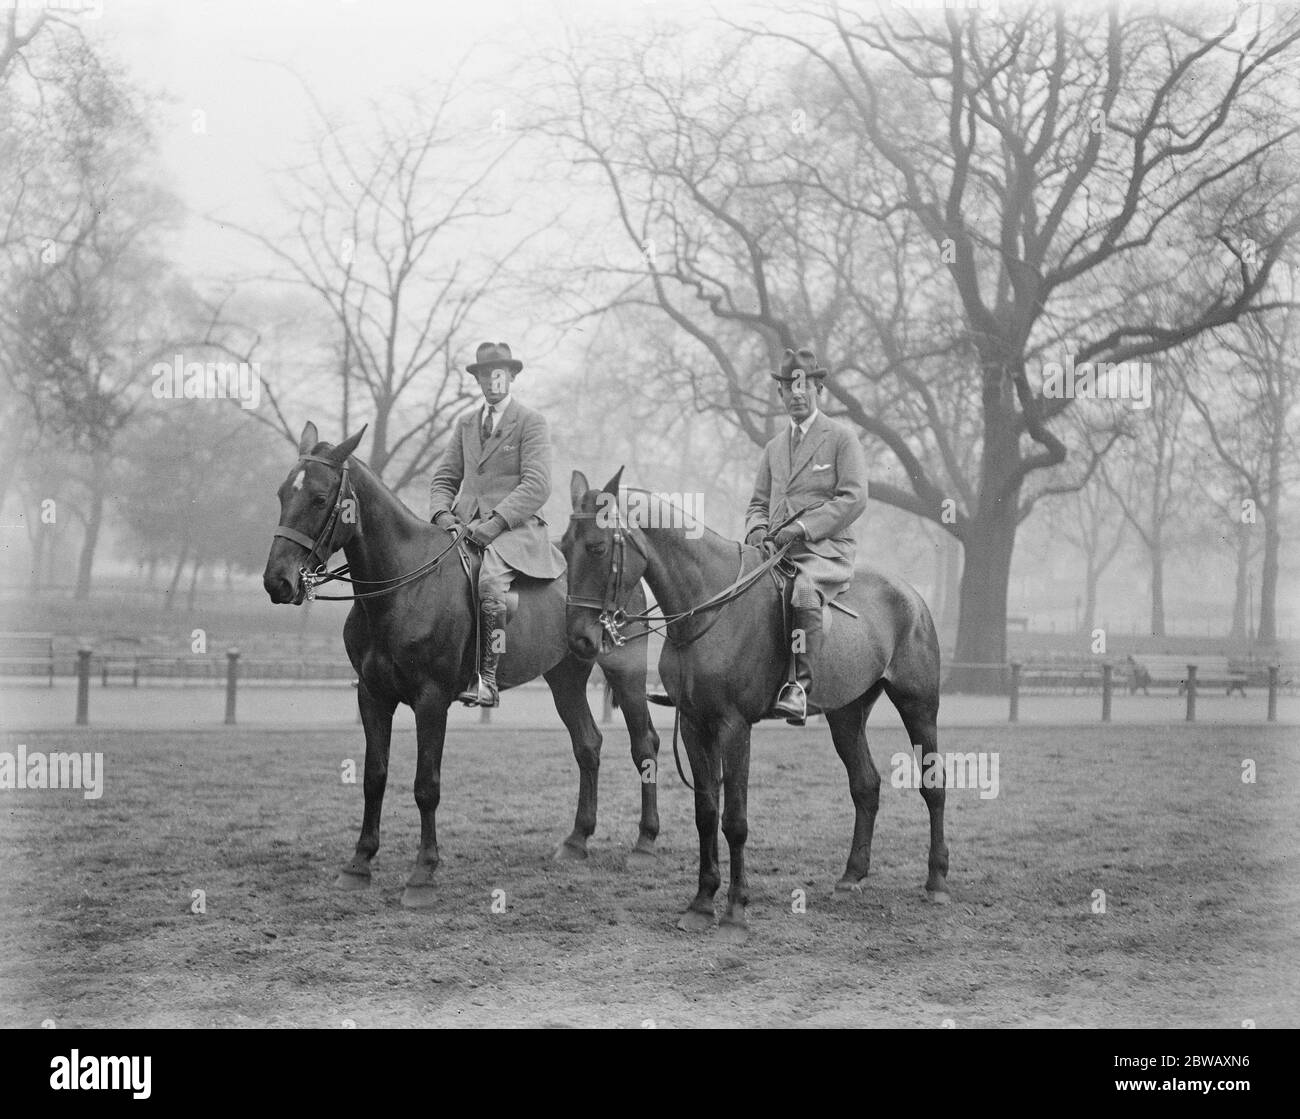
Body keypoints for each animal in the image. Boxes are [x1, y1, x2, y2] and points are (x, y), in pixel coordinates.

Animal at [262, 421, 660, 909]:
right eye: (283, 493)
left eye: (320, 498)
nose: (277, 581)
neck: (403, 588)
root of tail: (628, 564)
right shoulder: (372, 696)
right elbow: (375, 776)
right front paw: (359, 863)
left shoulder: (431, 701)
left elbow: (425, 785)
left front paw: (422, 872)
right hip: (565, 676)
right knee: (588, 743)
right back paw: (577, 840)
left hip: (626, 673)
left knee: (644, 744)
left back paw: (645, 841)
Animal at [564, 467, 951, 940]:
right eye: (563, 546)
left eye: (597, 547)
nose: (580, 639)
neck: (708, 606)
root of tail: (911, 595)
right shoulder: (694, 724)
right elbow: (706, 813)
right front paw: (701, 902)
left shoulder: (734, 727)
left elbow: (735, 820)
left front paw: (735, 910)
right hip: (846, 713)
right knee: (865, 785)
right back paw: (851, 876)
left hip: (918, 707)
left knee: (933, 785)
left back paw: (936, 881)